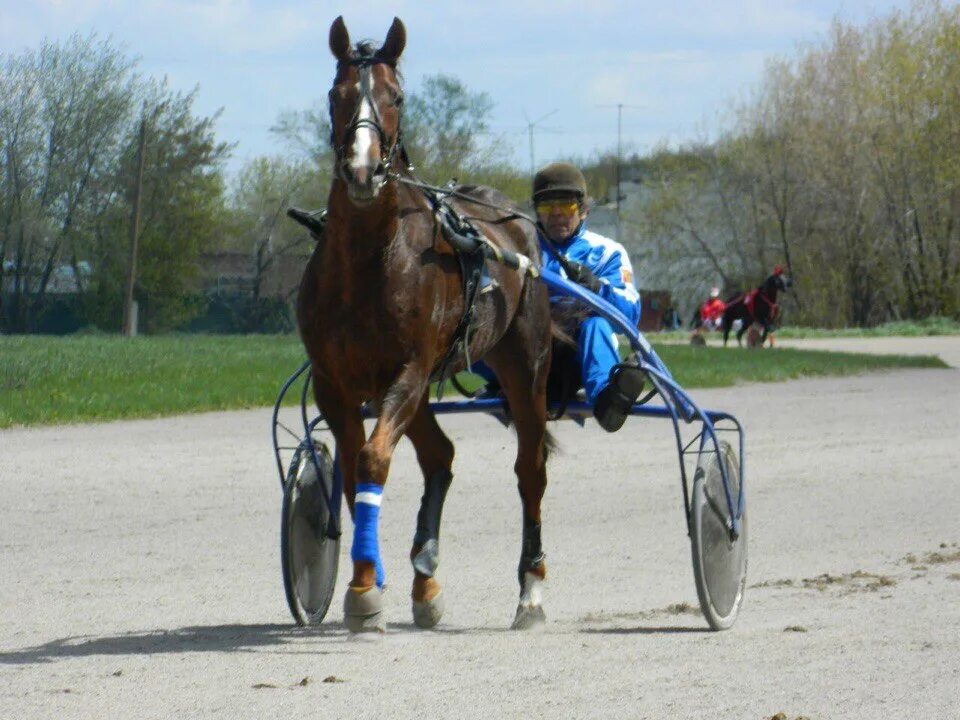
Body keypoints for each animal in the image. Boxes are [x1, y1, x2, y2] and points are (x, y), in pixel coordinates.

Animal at [298, 15, 556, 632]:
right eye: (336, 94)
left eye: (396, 96)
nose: (362, 170)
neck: (368, 263)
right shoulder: (336, 383)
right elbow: (354, 472)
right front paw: (371, 580)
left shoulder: (409, 371)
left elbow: (372, 459)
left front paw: (364, 589)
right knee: (440, 455)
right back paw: (425, 578)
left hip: (525, 364)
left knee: (530, 469)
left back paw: (531, 590)